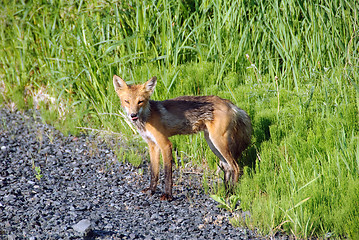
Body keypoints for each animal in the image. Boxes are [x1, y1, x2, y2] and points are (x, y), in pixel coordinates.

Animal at [114, 75, 252, 201]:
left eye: (140, 101)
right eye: (127, 101)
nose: (133, 115)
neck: (147, 117)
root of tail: (230, 103)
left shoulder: (165, 144)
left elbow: (167, 173)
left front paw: (168, 195)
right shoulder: (152, 145)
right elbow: (154, 172)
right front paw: (151, 190)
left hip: (219, 142)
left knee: (236, 167)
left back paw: (232, 194)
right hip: (212, 143)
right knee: (228, 167)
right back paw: (226, 192)